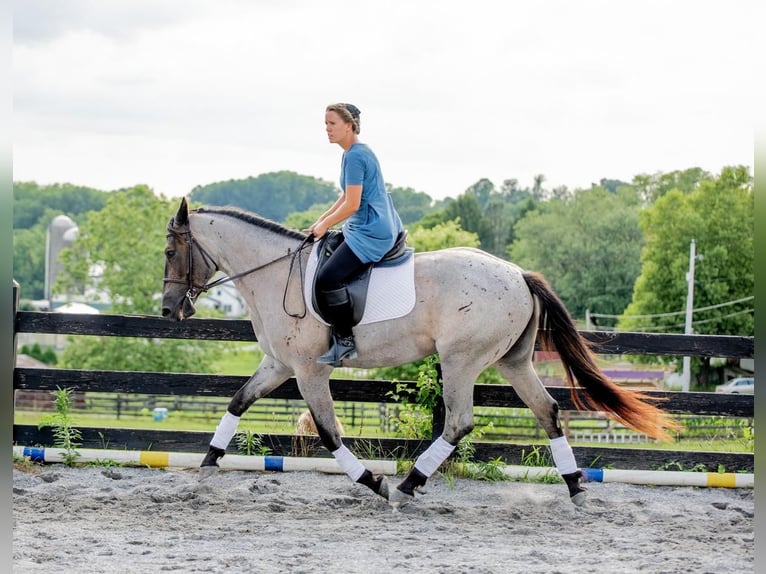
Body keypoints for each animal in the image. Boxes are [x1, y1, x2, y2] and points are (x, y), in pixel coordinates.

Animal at [160, 198, 680, 508]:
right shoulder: (277, 365)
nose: (169, 309)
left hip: (460, 361)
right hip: (513, 361)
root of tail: (518, 274)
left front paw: (373, 481)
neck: (274, 274)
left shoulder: (308, 370)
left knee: (459, 422)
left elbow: (329, 433)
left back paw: (410, 483)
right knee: (547, 410)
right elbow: (237, 402)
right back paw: (574, 487)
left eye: (169, 252)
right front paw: (205, 469)